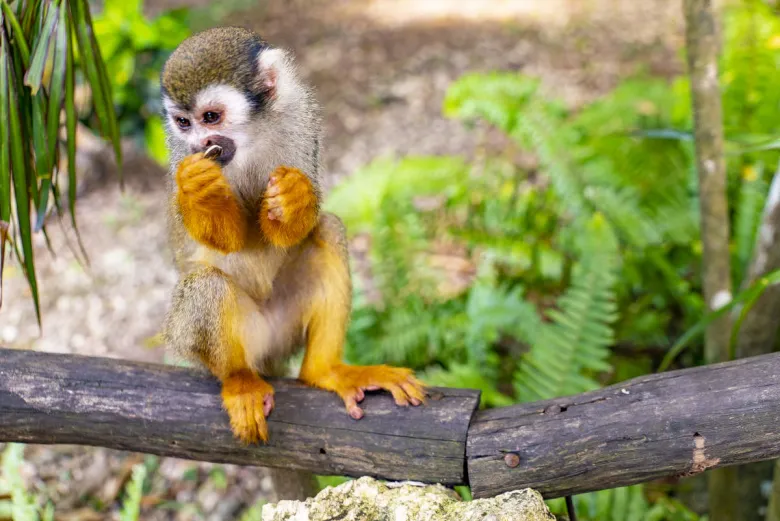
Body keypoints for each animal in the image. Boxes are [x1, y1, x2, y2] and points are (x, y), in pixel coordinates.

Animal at [160, 27, 425, 444]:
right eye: (183, 123)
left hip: (284, 328)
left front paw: (295, 197)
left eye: (211, 117)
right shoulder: (177, 153)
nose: (200, 144)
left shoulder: (299, 116)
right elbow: (230, 241)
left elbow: (286, 231)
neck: (250, 138)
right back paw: (239, 380)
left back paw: (324, 371)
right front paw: (199, 189)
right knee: (205, 283)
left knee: (328, 230)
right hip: (203, 340)